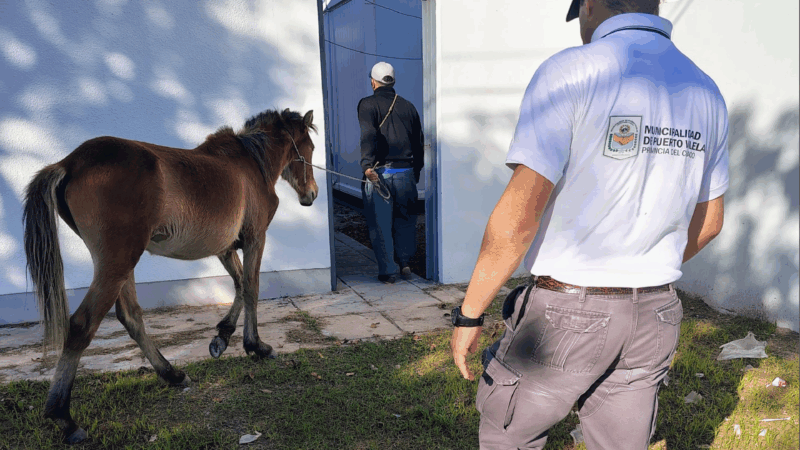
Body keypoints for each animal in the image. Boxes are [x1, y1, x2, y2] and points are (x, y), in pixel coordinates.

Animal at [23, 108, 319, 444]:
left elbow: (240, 285)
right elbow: (252, 287)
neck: (250, 161)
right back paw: (65, 418)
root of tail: (69, 162)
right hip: (118, 263)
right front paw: (256, 345)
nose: (311, 194)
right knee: (82, 324)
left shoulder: (225, 248)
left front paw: (222, 337)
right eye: (309, 148)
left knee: (131, 317)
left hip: (121, 265)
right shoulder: (255, 238)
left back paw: (172, 374)